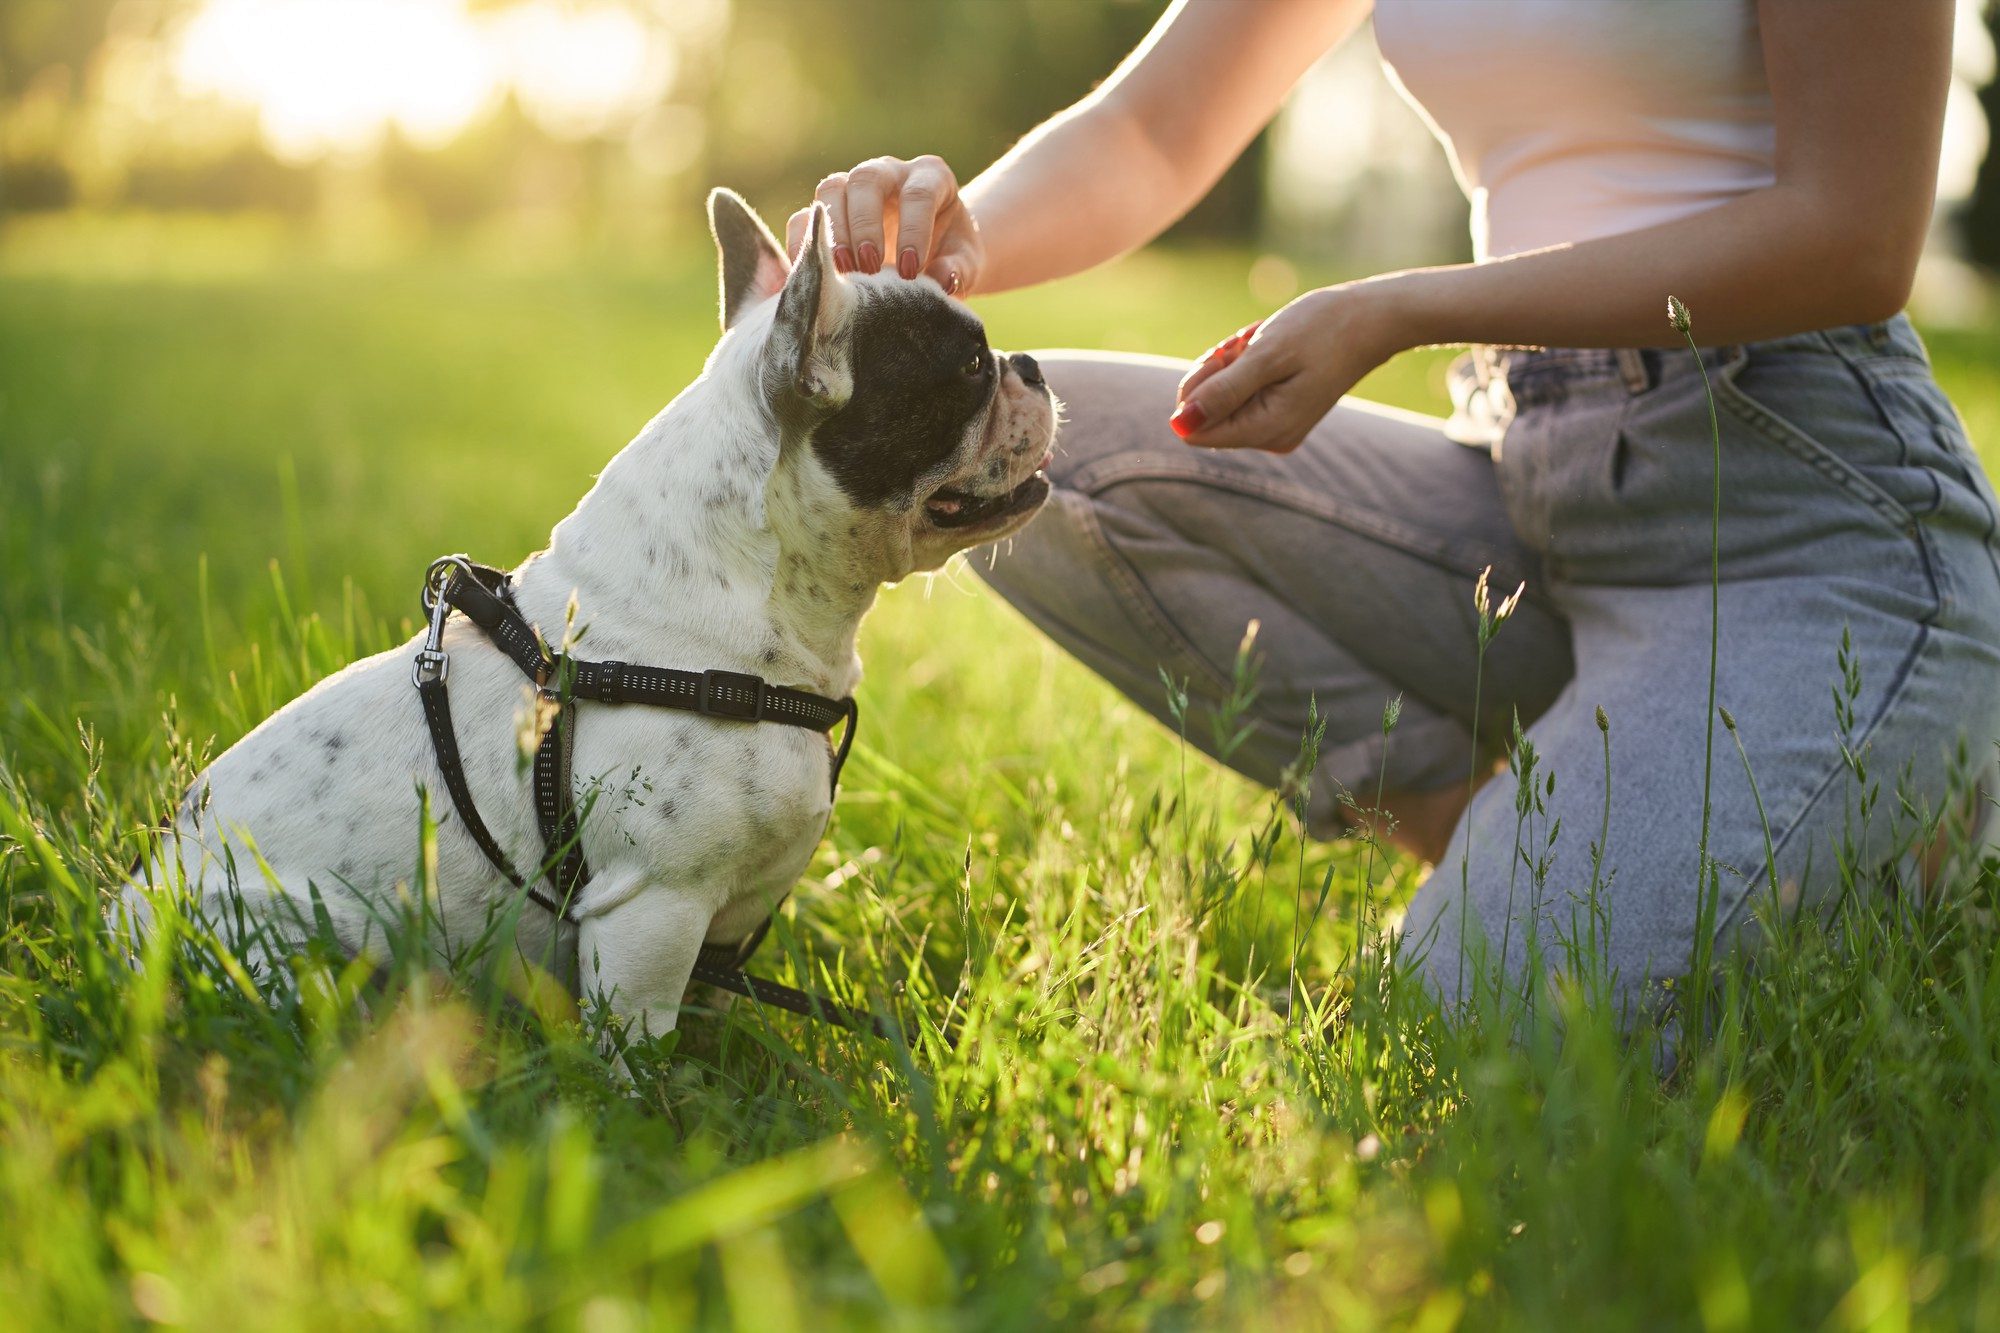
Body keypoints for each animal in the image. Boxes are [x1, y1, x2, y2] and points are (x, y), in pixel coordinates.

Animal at [121, 189, 1064, 1040]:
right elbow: (640, 1049)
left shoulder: (722, 930)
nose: (1030, 363)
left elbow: (710, 1019)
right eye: (969, 368)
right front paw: (655, 1108)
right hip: (291, 950)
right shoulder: (654, 910)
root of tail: (120, 918)